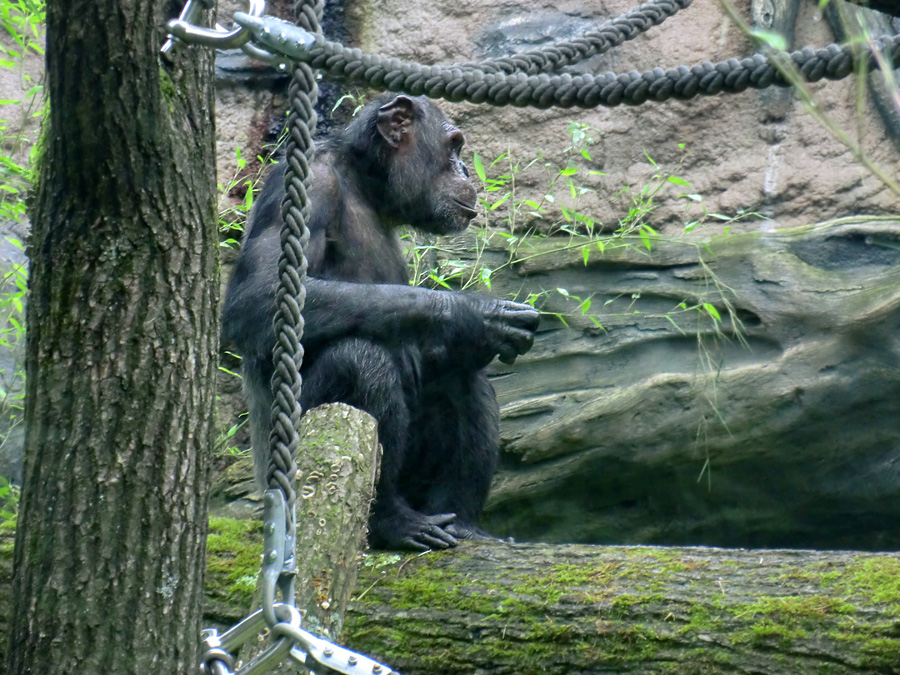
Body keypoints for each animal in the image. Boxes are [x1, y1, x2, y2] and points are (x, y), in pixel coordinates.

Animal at [221, 93, 536, 548]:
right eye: (454, 147)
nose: (465, 170)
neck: (363, 182)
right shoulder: (306, 186)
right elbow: (258, 299)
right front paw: (470, 314)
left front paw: (467, 332)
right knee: (360, 362)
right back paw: (391, 521)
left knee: (464, 379)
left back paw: (462, 523)